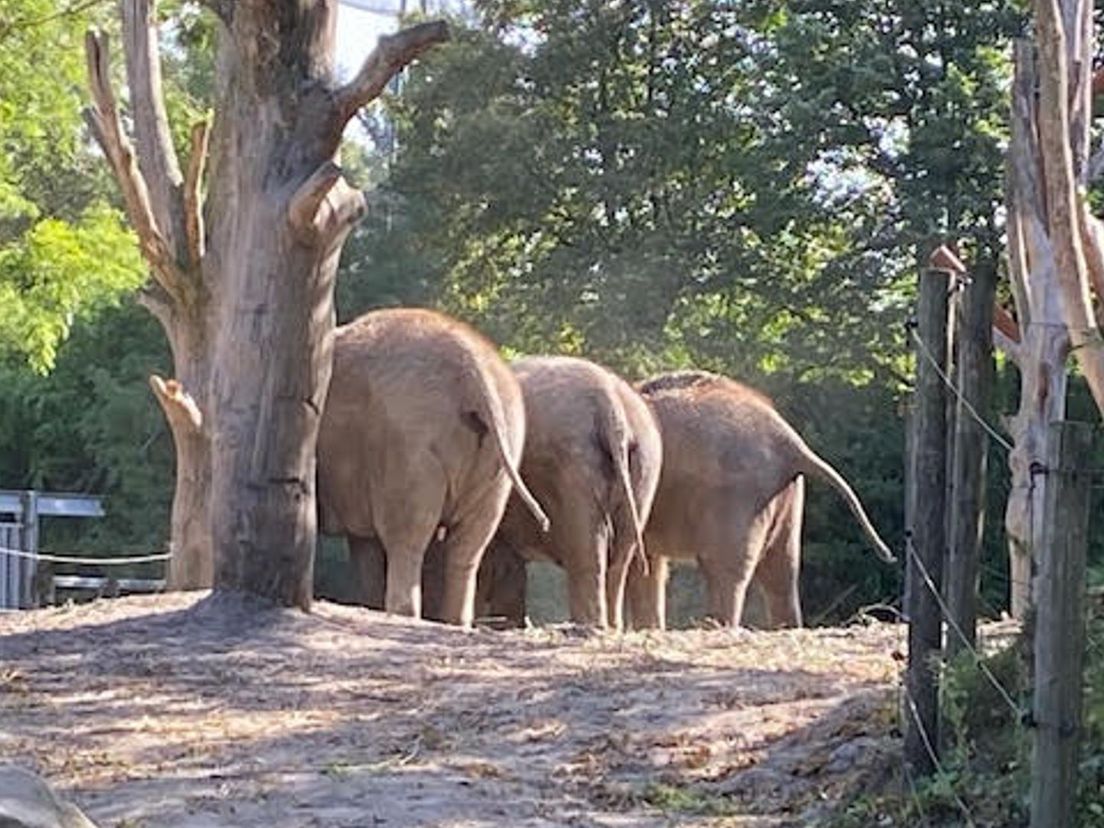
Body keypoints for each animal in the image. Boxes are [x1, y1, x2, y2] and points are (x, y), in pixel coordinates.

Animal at [315, 309, 547, 627]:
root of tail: (475, 375)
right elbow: (365, 545)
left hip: (408, 447)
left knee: (406, 540)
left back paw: (403, 614)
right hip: (502, 455)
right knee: (469, 547)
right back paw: (454, 621)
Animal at [470, 353, 657, 631]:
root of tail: (611, 405)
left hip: (572, 468)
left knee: (588, 555)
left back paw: (589, 626)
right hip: (644, 468)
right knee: (619, 560)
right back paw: (610, 627)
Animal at [627, 368, 892, 627]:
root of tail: (790, 442)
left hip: (736, 495)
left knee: (725, 569)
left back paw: (717, 626)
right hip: (784, 495)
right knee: (782, 569)